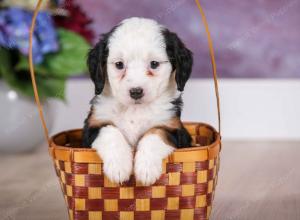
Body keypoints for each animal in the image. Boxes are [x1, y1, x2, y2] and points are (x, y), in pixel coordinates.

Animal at [83, 17, 193, 186]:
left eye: (154, 64)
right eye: (119, 64)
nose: (136, 92)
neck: (135, 110)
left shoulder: (175, 129)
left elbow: (155, 133)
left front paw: (146, 168)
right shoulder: (92, 127)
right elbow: (110, 131)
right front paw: (118, 167)